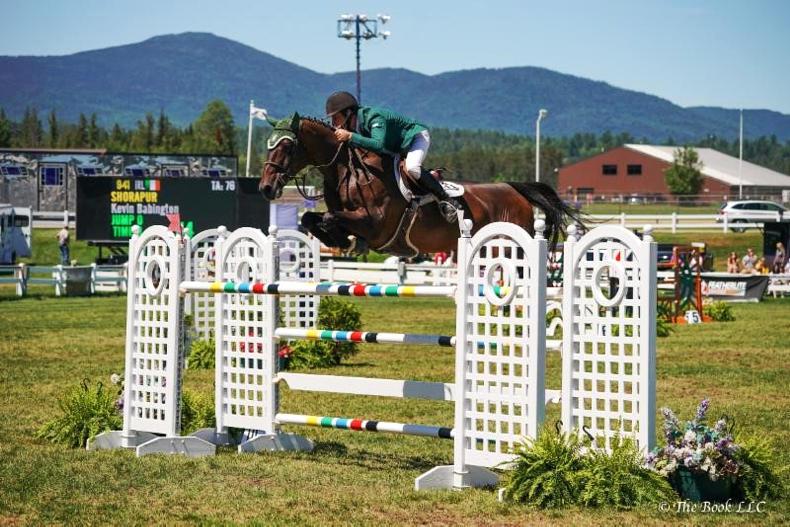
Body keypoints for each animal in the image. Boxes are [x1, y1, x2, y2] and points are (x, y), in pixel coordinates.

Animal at [259, 113, 582, 256]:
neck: (348, 170)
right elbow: (310, 217)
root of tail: (513, 190)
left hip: (504, 246)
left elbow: (328, 216)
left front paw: (343, 239)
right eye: (268, 145)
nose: (265, 188)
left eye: (287, 147)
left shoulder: (376, 223)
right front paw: (338, 240)